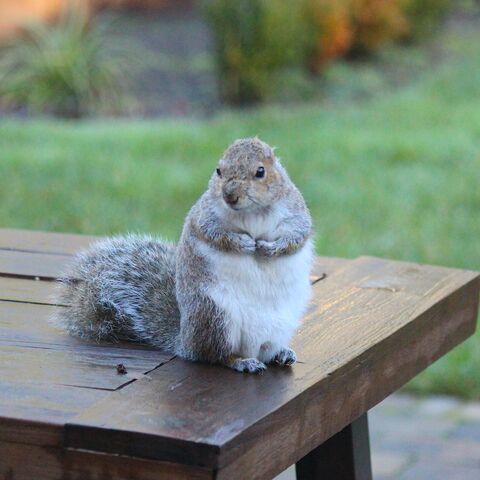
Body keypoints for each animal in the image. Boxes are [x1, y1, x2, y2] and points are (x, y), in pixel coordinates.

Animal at [55, 137, 314, 374]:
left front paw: (270, 247)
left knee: (263, 350)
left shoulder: (296, 212)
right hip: (215, 316)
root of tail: (184, 343)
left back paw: (281, 353)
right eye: (218, 170)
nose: (229, 196)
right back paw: (242, 361)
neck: (252, 213)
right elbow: (213, 235)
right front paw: (244, 243)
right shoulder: (203, 216)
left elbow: (297, 238)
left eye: (261, 171)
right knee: (216, 355)